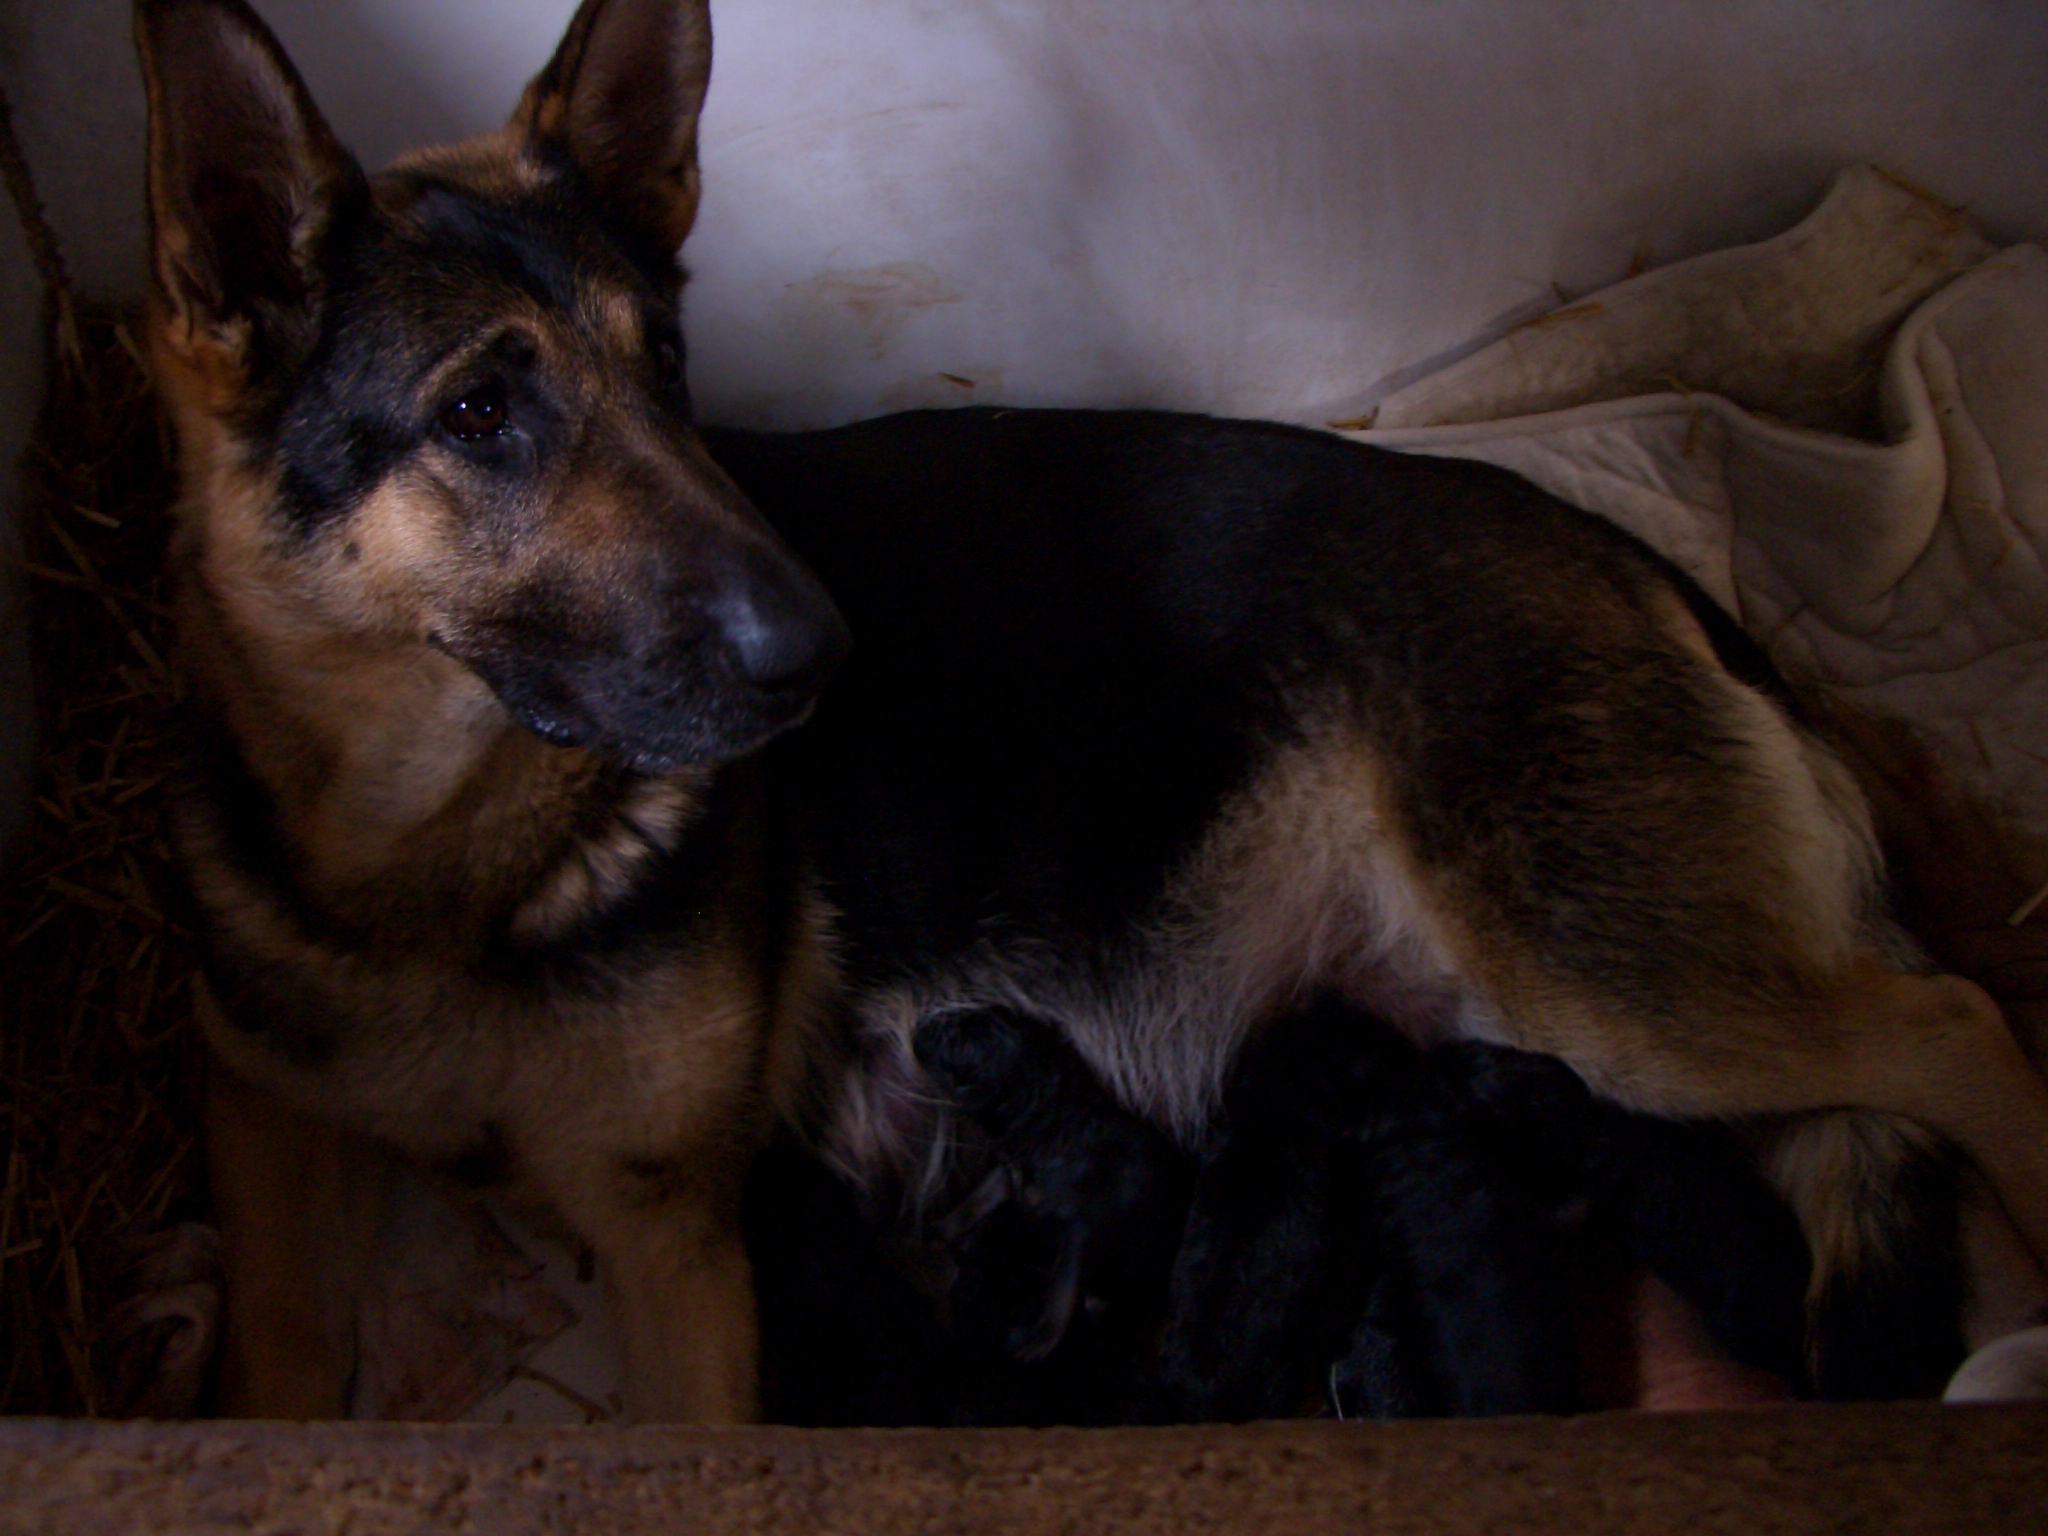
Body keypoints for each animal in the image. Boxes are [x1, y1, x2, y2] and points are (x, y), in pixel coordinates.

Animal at [141, 0, 2048, 1421]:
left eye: (668, 373)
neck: (426, 868)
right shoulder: (260, 1131)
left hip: (1603, 979)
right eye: (478, 413)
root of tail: (1622, 551)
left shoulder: (674, 1245)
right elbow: (278, 1373)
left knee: (1958, 1025)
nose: (826, 652)